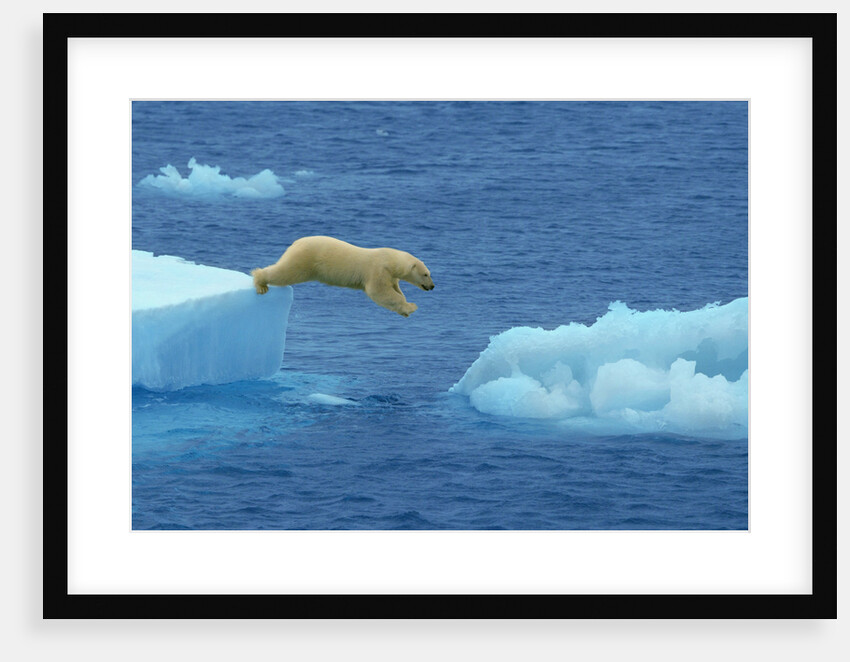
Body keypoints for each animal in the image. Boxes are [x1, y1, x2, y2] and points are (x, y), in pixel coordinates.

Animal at [251, 236, 435, 317]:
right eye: (426, 274)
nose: (432, 286)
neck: (390, 259)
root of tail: (296, 242)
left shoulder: (390, 275)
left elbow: (395, 289)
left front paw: (405, 309)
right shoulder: (378, 270)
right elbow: (380, 292)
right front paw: (411, 306)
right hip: (305, 260)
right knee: (285, 273)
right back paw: (261, 283)